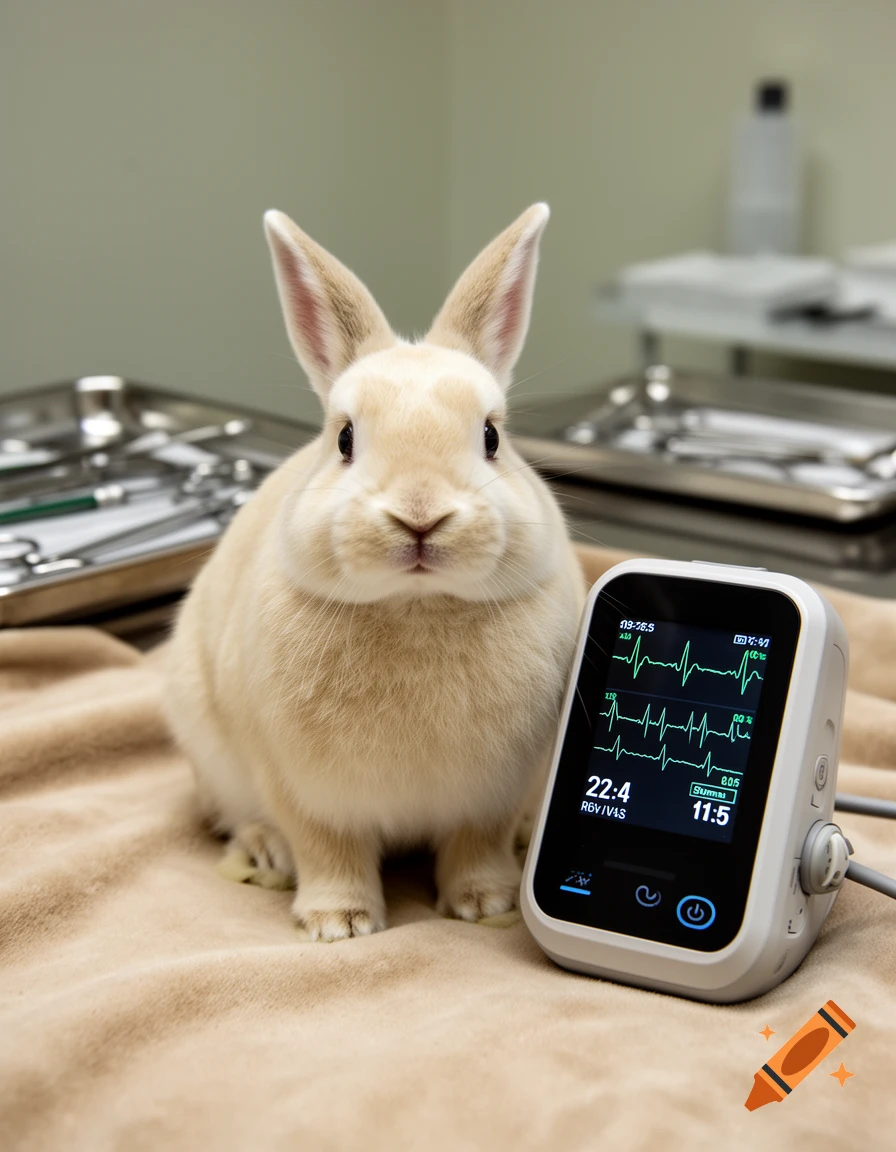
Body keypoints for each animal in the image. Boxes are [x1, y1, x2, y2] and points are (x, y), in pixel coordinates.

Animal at [163, 202, 586, 941]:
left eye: (492, 437)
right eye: (344, 439)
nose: (420, 517)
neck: (417, 607)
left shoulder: (493, 795)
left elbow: (476, 845)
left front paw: (487, 906)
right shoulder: (304, 790)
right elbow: (327, 849)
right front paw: (340, 924)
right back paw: (265, 854)